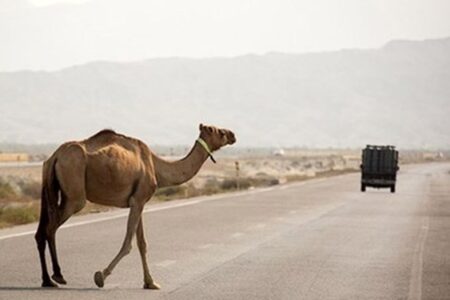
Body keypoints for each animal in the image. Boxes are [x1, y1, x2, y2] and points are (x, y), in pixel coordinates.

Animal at [34, 123, 236, 288]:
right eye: (219, 131)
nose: (233, 134)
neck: (156, 166)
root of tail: (54, 157)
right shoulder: (138, 200)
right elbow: (128, 244)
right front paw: (101, 276)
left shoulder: (138, 202)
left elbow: (142, 243)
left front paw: (151, 282)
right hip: (74, 193)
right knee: (51, 228)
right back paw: (58, 276)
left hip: (51, 188)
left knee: (41, 231)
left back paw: (47, 280)